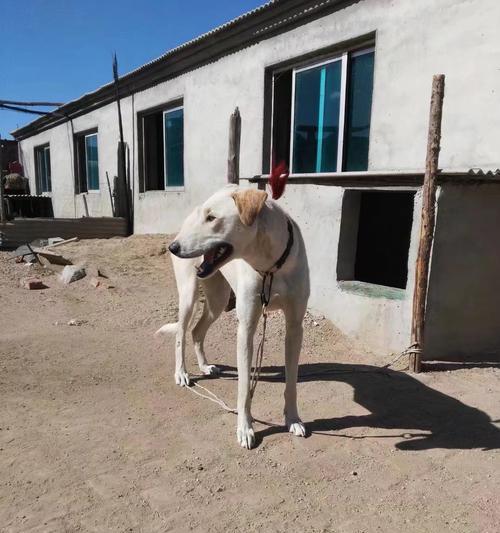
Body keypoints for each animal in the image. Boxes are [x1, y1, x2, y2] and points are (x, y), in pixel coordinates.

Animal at [158, 185, 310, 446]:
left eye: (212, 218)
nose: (172, 248)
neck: (271, 266)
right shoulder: (246, 329)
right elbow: (244, 387)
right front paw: (245, 428)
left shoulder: (294, 327)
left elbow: (291, 383)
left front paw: (293, 419)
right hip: (188, 295)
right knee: (181, 334)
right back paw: (182, 373)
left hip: (218, 299)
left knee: (197, 331)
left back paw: (205, 366)